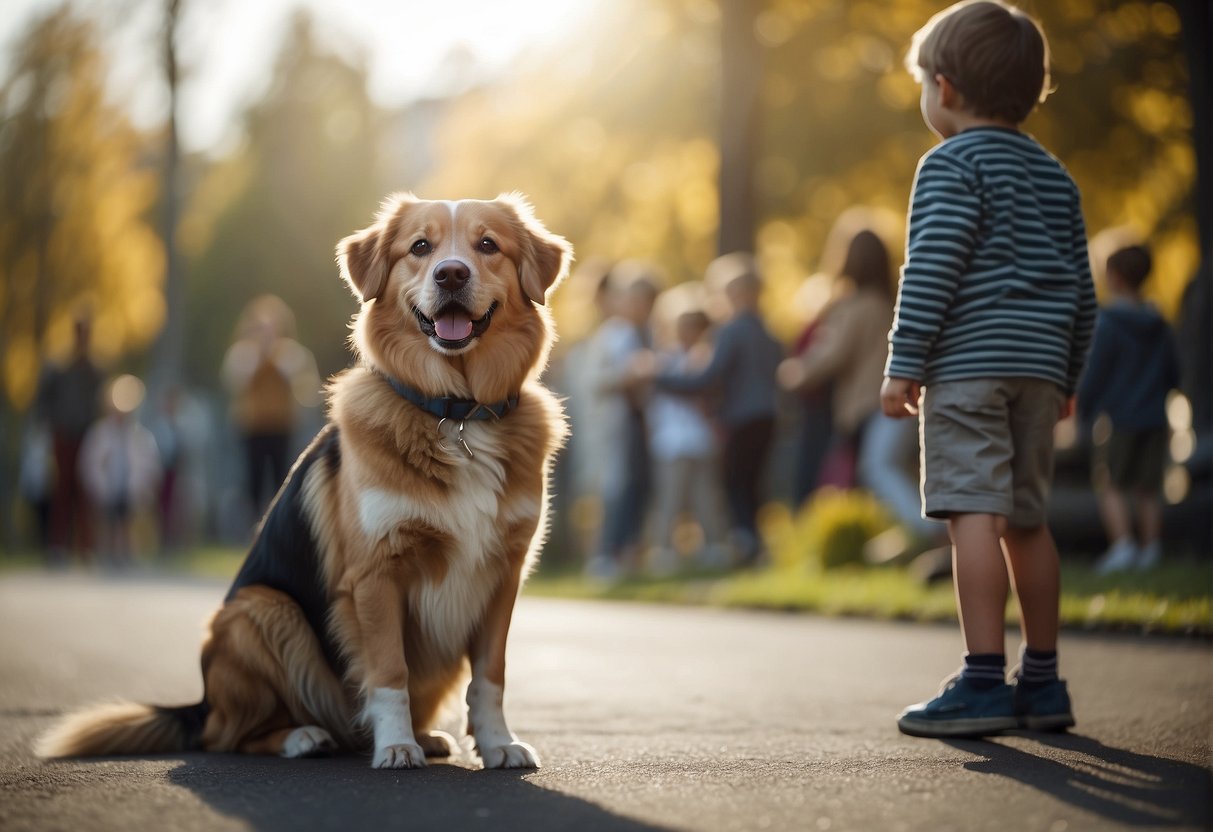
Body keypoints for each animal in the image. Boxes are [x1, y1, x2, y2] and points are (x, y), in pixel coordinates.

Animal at [33, 192, 572, 771]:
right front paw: (396, 746)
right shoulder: (376, 573)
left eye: (488, 245)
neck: (457, 413)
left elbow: (490, 676)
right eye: (420, 247)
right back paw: (305, 737)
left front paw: (497, 744)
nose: (451, 274)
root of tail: (201, 702)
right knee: (227, 735)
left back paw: (418, 736)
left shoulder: (502, 574)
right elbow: (390, 672)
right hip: (261, 611)